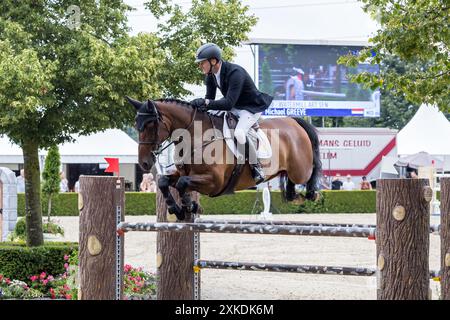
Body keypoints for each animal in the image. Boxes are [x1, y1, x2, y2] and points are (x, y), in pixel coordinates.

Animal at [126, 97, 322, 220]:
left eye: (150, 124)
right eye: (136, 125)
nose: (144, 163)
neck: (197, 137)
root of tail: (294, 121)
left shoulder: (214, 182)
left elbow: (182, 183)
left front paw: (189, 206)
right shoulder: (182, 174)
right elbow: (164, 182)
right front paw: (177, 209)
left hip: (300, 170)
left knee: (312, 170)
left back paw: (313, 193)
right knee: (290, 183)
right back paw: (293, 195)